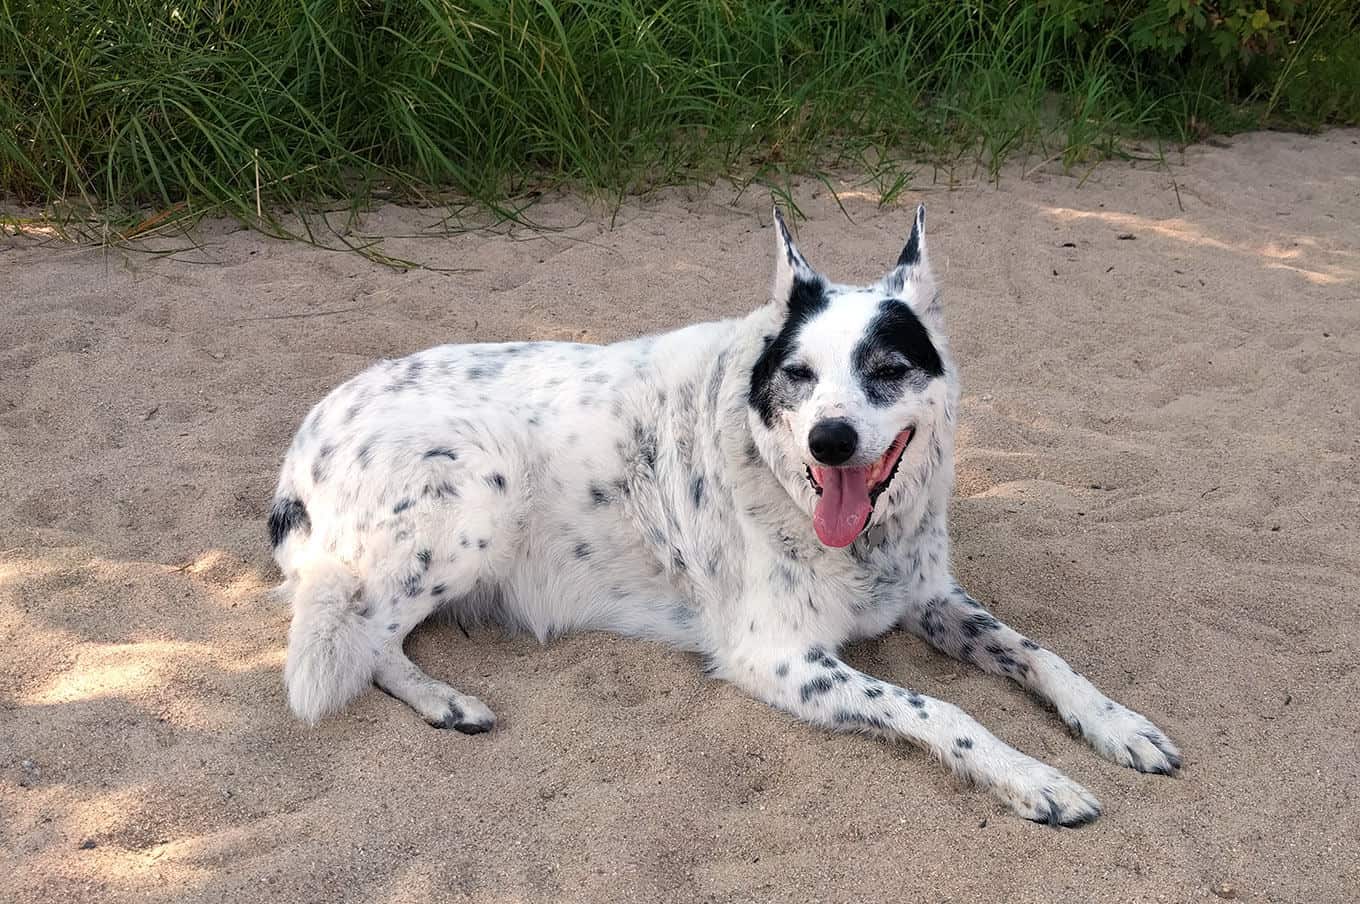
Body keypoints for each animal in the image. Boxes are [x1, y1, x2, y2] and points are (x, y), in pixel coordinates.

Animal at [267, 203, 1180, 826]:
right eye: (799, 374)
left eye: (888, 368)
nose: (830, 440)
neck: (857, 538)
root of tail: (301, 443)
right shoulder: (775, 656)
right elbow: (942, 709)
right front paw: (1036, 777)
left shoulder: (930, 598)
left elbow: (1042, 656)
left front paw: (1118, 725)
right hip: (478, 488)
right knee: (359, 641)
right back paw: (446, 702)